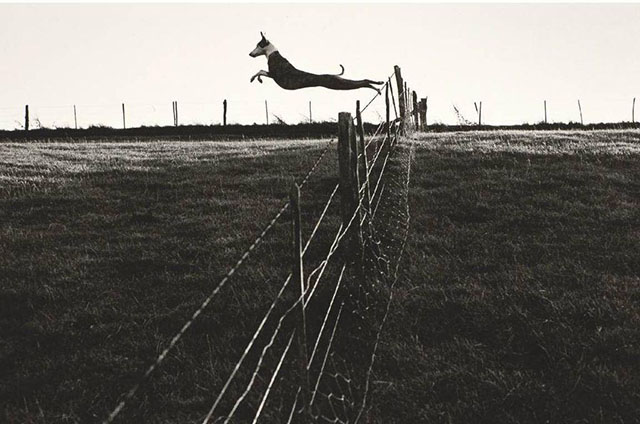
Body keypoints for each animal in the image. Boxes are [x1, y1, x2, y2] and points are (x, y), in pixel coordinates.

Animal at [249, 33, 380, 92]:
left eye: (258, 45)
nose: (250, 54)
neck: (272, 54)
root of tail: (333, 75)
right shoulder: (272, 75)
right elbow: (260, 71)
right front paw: (258, 79)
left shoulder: (274, 75)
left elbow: (260, 71)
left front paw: (254, 79)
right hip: (339, 82)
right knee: (362, 80)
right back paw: (378, 84)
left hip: (338, 84)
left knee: (362, 82)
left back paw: (376, 87)